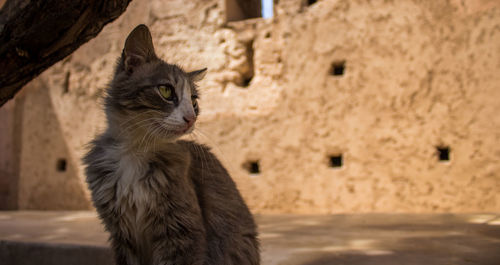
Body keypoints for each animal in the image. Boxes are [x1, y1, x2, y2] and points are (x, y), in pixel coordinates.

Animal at [83, 24, 260, 264]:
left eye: (194, 101)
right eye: (166, 91)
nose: (191, 118)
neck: (135, 151)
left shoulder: (181, 232)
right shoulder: (121, 234)